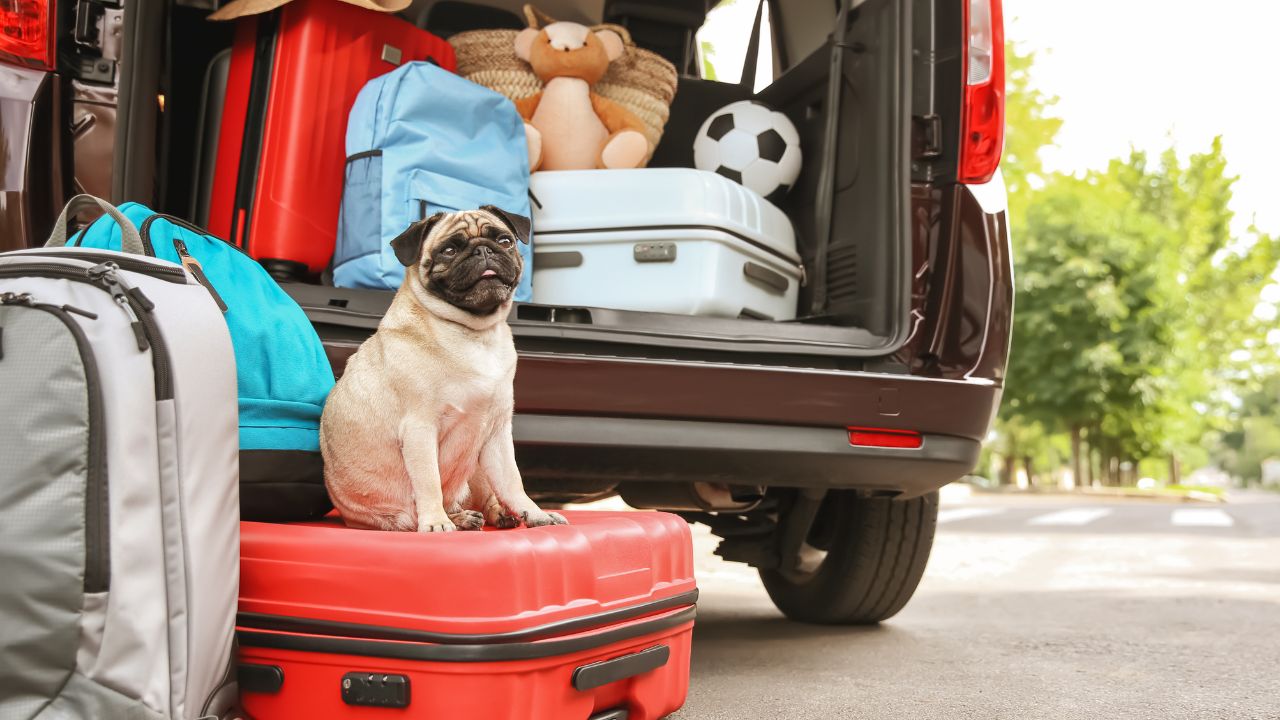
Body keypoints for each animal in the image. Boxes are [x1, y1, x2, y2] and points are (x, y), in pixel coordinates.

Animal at [320, 204, 565, 530]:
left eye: (504, 241)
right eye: (449, 250)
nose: (483, 250)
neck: (475, 333)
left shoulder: (497, 434)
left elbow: (513, 482)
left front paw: (536, 514)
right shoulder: (420, 430)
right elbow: (429, 482)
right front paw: (436, 522)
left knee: (487, 494)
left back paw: (494, 515)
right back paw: (456, 517)